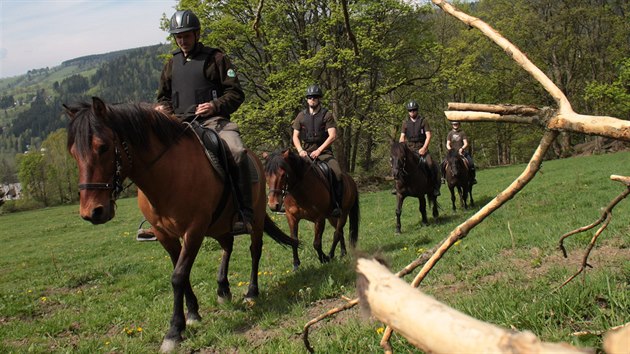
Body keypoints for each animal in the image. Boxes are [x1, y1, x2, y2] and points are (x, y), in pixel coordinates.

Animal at [65, 96, 300, 352]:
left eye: (103, 147)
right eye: (73, 153)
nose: (92, 212)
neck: (167, 174)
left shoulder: (193, 230)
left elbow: (178, 276)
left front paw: (174, 331)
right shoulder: (165, 235)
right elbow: (181, 271)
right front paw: (193, 313)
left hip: (254, 220)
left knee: (255, 251)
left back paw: (251, 291)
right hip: (218, 225)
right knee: (227, 246)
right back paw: (223, 288)